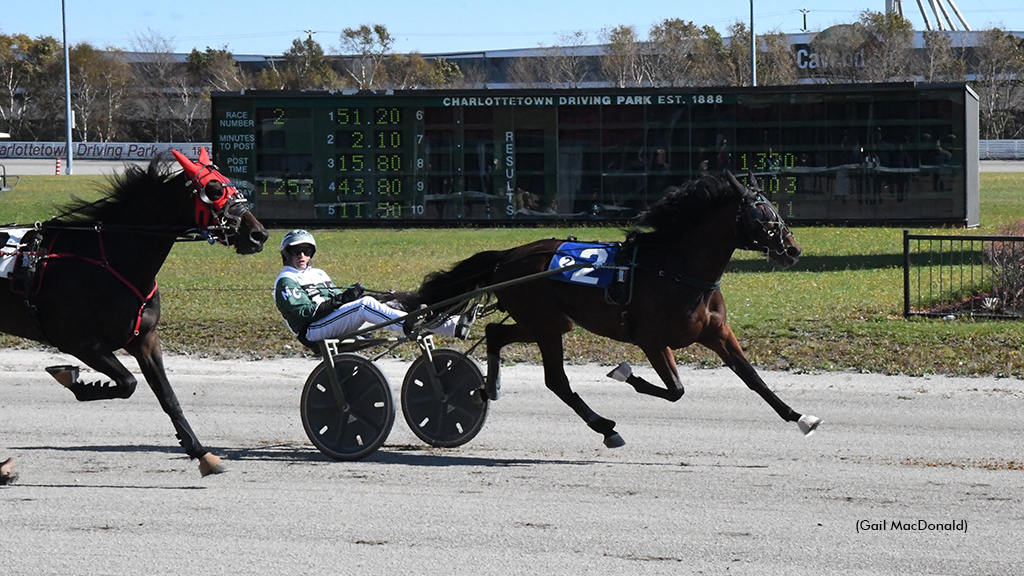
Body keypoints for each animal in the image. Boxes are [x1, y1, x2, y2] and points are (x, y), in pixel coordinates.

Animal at [0, 147, 268, 479]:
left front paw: (201, 452)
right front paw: (73, 380)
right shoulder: (81, 343)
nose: (258, 234)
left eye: (229, 184)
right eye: (214, 190)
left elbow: (167, 396)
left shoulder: (145, 339)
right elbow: (128, 383)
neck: (111, 259)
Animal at [411, 170, 819, 448]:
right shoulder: (651, 341)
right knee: (556, 380)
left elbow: (752, 378)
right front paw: (624, 373)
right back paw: (605, 427)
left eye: (774, 210)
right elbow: (675, 390)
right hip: (545, 324)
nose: (793, 249)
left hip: (544, 322)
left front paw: (800, 417)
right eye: (762, 216)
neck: (675, 269)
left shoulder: (717, 333)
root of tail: (508, 256)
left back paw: (490, 387)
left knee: (496, 333)